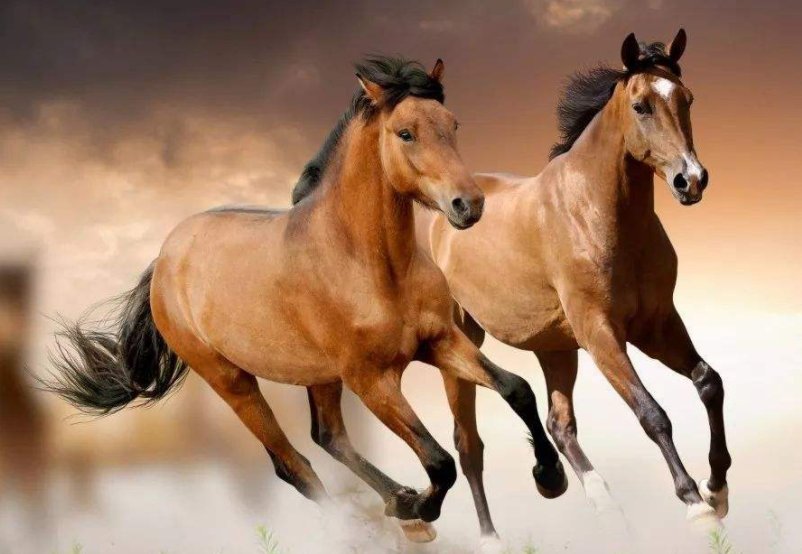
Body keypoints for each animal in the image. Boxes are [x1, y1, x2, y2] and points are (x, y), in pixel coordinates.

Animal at [45, 56, 565, 544]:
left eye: (453, 124)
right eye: (405, 133)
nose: (468, 205)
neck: (371, 263)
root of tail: (164, 259)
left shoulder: (439, 341)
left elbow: (516, 388)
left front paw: (550, 477)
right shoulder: (371, 379)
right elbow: (439, 461)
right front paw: (420, 507)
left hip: (319, 375)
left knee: (328, 437)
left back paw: (397, 502)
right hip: (232, 381)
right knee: (293, 465)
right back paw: (380, 522)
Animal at [416, 30, 730, 540]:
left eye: (687, 99)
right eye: (641, 105)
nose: (692, 180)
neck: (596, 213)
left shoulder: (657, 325)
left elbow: (708, 383)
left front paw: (717, 488)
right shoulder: (601, 332)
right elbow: (652, 413)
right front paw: (694, 503)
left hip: (555, 347)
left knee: (559, 424)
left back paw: (594, 499)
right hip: (462, 342)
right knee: (468, 445)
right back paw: (492, 537)